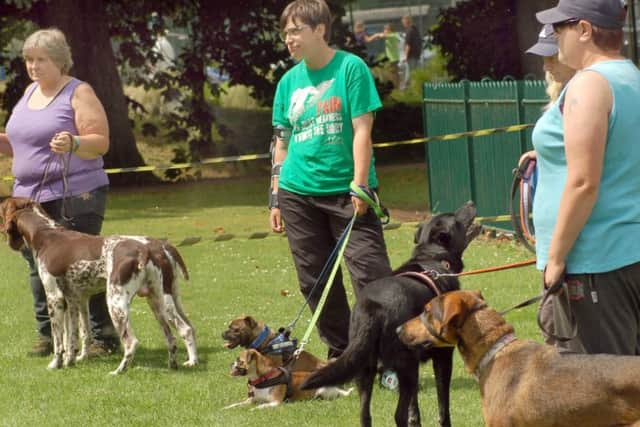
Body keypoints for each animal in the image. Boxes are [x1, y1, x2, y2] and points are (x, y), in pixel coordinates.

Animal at [225, 352, 356, 412]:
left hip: (322, 391)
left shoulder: (275, 403)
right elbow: (237, 404)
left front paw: (253, 410)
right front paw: (228, 407)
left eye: (239, 361)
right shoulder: (251, 400)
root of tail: (337, 388)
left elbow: (261, 405)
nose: (231, 363)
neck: (263, 378)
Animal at [302, 203, 480, 427]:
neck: (433, 258)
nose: (470, 203)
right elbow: (443, 408)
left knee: (365, 415)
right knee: (398, 414)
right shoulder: (443, 357)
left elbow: (415, 409)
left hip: (366, 367)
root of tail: (373, 307)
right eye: (455, 218)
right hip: (405, 365)